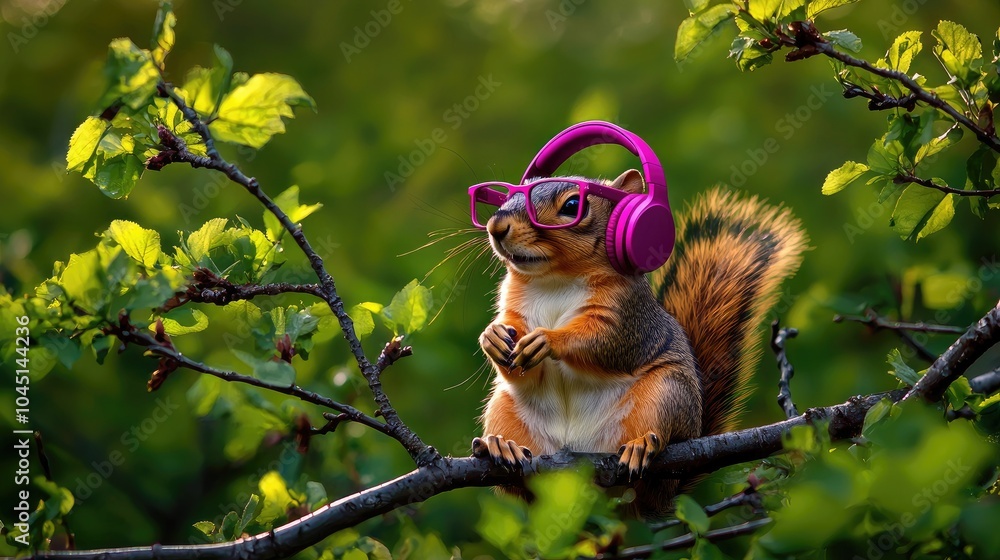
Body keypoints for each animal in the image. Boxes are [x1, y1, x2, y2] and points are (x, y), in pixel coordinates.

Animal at [471, 168, 807, 517]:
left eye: (573, 205)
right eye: (505, 198)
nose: (497, 227)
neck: (554, 280)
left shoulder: (630, 320)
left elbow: (603, 344)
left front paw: (548, 339)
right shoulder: (513, 311)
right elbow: (519, 365)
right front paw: (491, 337)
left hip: (666, 393)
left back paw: (642, 445)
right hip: (505, 409)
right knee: (520, 489)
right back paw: (502, 446)